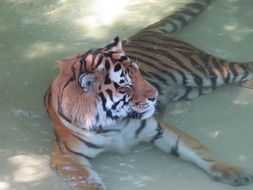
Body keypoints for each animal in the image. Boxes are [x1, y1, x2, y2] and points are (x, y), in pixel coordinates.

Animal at [44, 0, 252, 190]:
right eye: (125, 84)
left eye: (140, 74)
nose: (155, 95)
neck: (113, 122)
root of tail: (142, 33)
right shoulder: (68, 157)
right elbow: (89, 183)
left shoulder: (162, 129)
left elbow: (198, 151)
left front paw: (233, 171)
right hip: (195, 87)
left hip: (206, 72)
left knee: (245, 67)